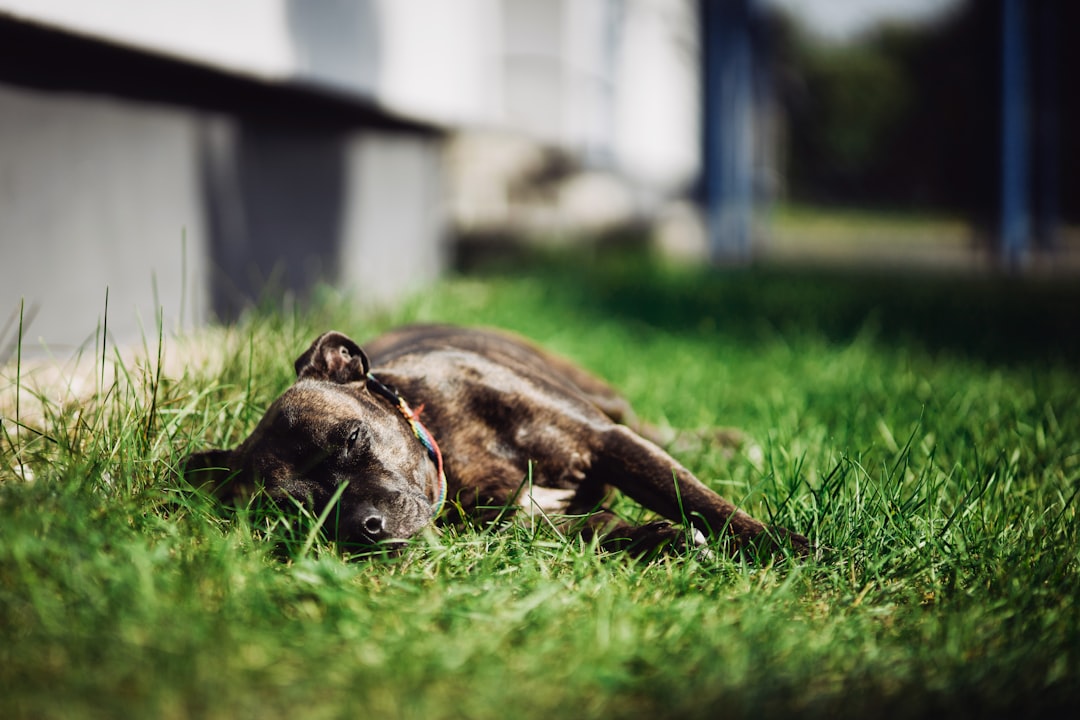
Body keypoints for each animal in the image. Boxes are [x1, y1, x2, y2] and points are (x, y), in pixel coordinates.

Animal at [185, 325, 812, 557]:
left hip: (608, 405)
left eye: (353, 437)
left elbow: (700, 499)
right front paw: (662, 539)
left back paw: (728, 444)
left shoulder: (608, 441)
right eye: (300, 510)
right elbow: (599, 527)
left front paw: (785, 547)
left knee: (663, 434)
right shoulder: (525, 519)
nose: (366, 528)